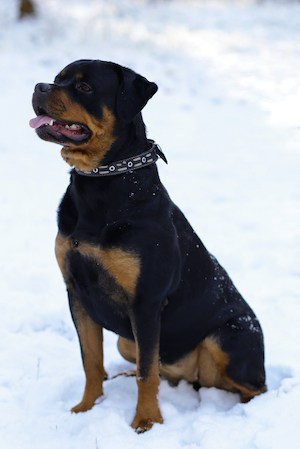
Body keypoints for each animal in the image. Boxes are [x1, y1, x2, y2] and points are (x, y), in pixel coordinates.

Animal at [29, 58, 264, 430]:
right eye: (57, 79)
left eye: (84, 87)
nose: (39, 87)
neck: (102, 182)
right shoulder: (76, 291)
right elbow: (91, 360)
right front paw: (87, 407)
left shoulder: (147, 301)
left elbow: (146, 372)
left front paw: (146, 421)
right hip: (127, 341)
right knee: (160, 368)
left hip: (229, 336)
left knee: (255, 385)